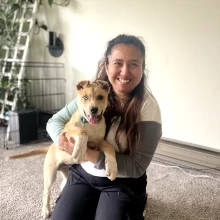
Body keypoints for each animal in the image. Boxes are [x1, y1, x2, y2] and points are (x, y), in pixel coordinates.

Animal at [8, 80, 118, 218]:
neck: (90, 125)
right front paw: (80, 150)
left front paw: (112, 167)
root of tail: (50, 147)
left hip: (65, 170)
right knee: (46, 192)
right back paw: (46, 210)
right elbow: (81, 132)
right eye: (85, 97)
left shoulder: (100, 141)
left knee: (64, 181)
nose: (93, 110)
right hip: (50, 175)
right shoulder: (67, 132)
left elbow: (110, 148)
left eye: (100, 97)